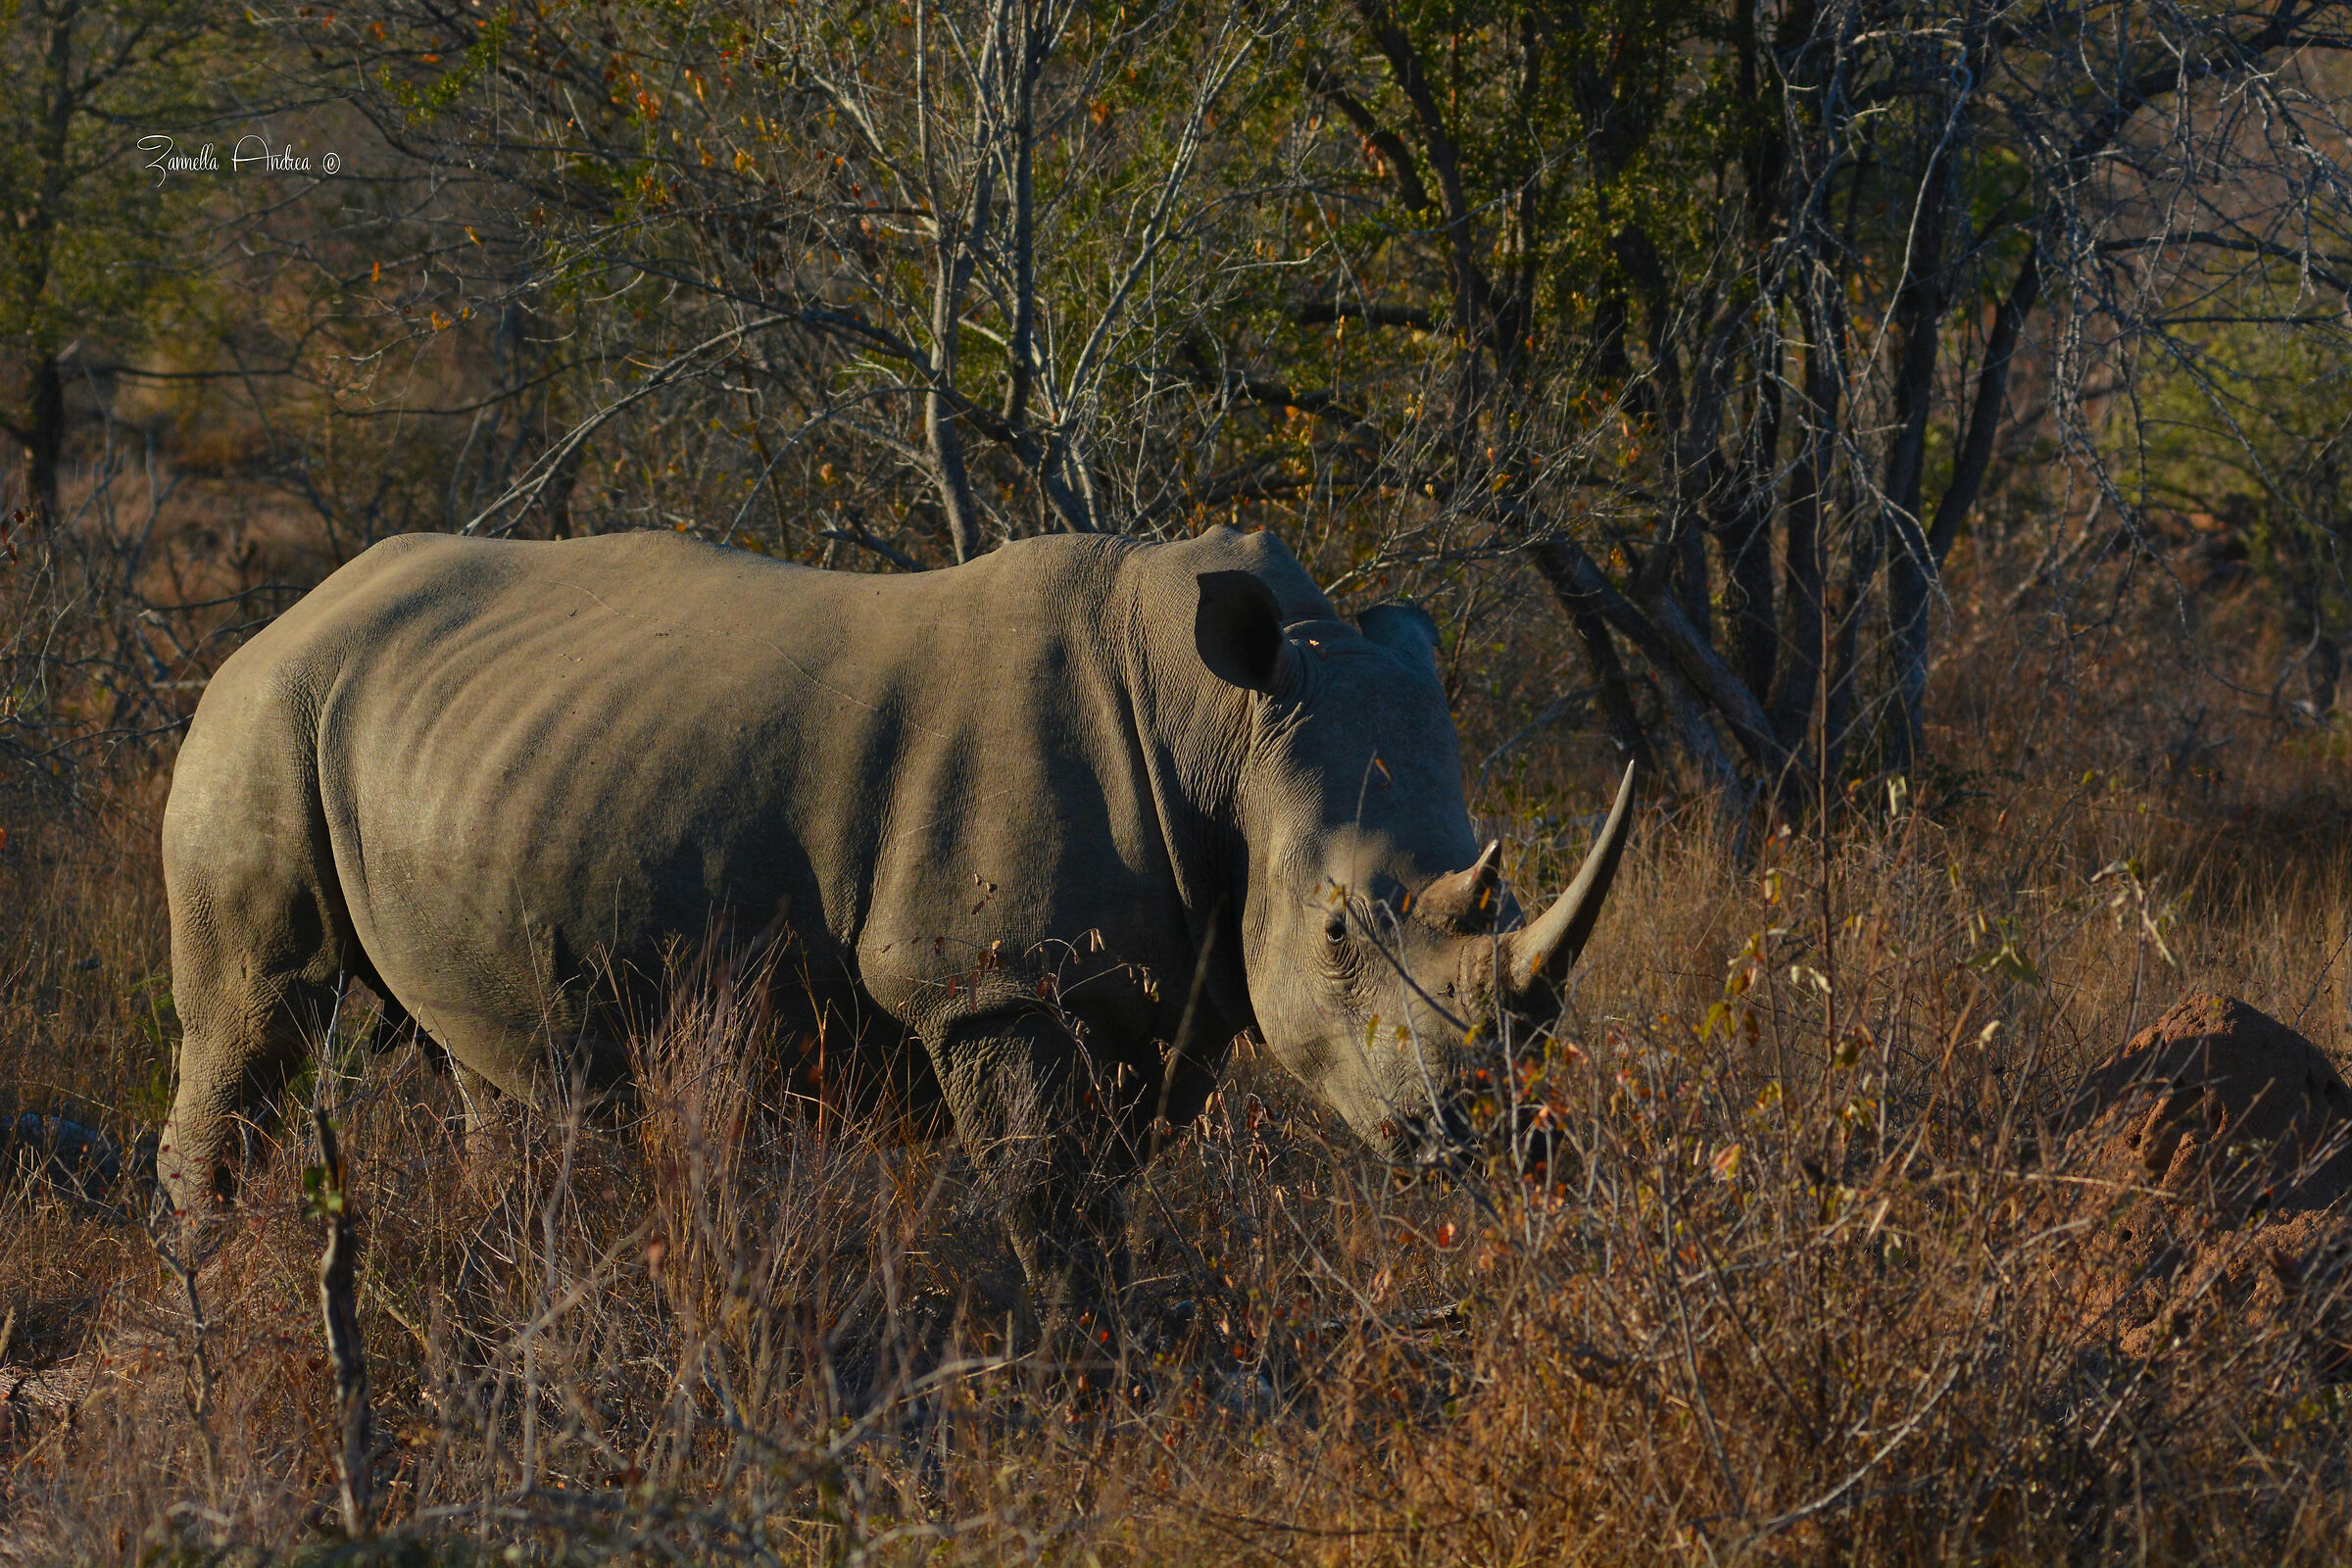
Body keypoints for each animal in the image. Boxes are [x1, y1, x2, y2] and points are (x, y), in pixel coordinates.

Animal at [158, 525, 1631, 1298]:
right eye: (1339, 932)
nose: (1485, 1138)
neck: (1225, 726)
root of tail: (280, 616)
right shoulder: (995, 984)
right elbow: (1049, 1198)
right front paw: (1084, 1376)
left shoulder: (1152, 994)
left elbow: (1101, 1190)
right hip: (258, 721)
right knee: (254, 1016)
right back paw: (204, 1304)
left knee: (498, 1073)